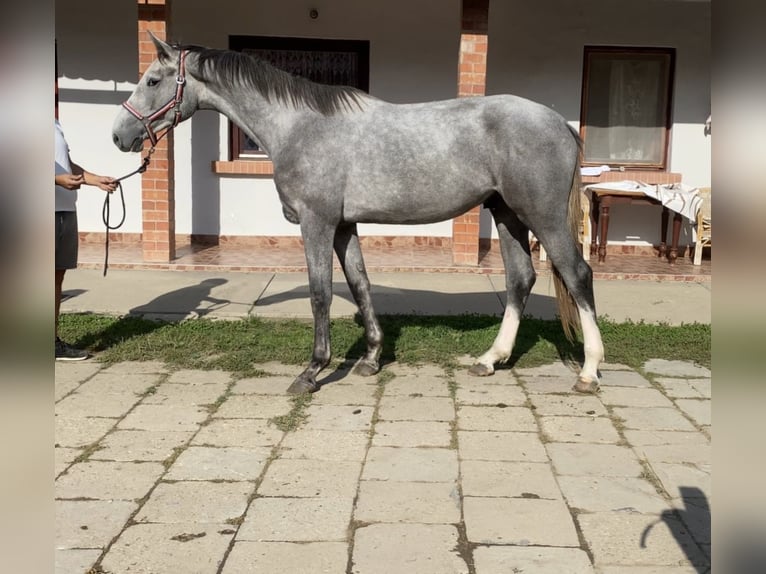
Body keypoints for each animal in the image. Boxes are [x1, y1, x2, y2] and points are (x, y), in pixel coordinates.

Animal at [114, 33, 608, 396]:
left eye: (153, 80)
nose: (120, 135)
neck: (299, 125)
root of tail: (560, 123)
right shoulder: (344, 226)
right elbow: (360, 284)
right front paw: (370, 359)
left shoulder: (317, 223)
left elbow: (320, 295)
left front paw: (311, 372)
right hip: (508, 214)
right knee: (520, 279)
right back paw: (490, 360)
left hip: (541, 216)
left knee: (577, 274)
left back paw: (588, 371)